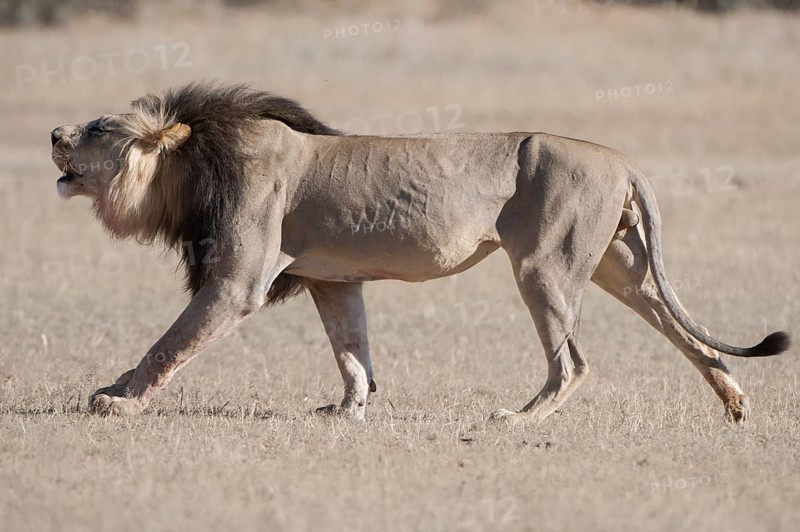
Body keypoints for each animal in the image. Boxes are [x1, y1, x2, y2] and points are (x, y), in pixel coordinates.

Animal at [49, 82, 790, 423]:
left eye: (100, 128)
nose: (54, 133)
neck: (189, 170)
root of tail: (622, 159)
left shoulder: (238, 280)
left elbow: (170, 342)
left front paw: (118, 400)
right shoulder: (332, 279)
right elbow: (352, 349)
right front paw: (348, 411)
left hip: (542, 265)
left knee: (574, 362)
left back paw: (518, 419)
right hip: (616, 266)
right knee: (680, 327)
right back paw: (735, 403)